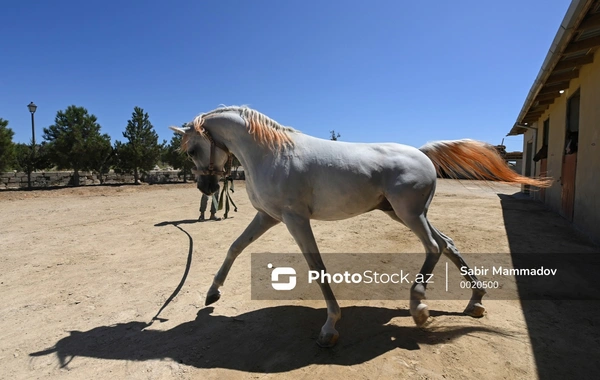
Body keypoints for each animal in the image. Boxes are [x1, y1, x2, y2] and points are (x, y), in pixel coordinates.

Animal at [171, 106, 552, 348]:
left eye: (192, 150)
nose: (206, 188)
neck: (271, 154)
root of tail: (422, 152)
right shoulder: (269, 216)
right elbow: (235, 246)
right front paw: (212, 293)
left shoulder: (295, 219)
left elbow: (317, 267)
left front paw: (329, 328)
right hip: (405, 213)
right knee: (448, 244)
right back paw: (475, 301)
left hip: (409, 215)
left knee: (434, 247)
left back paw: (419, 308)